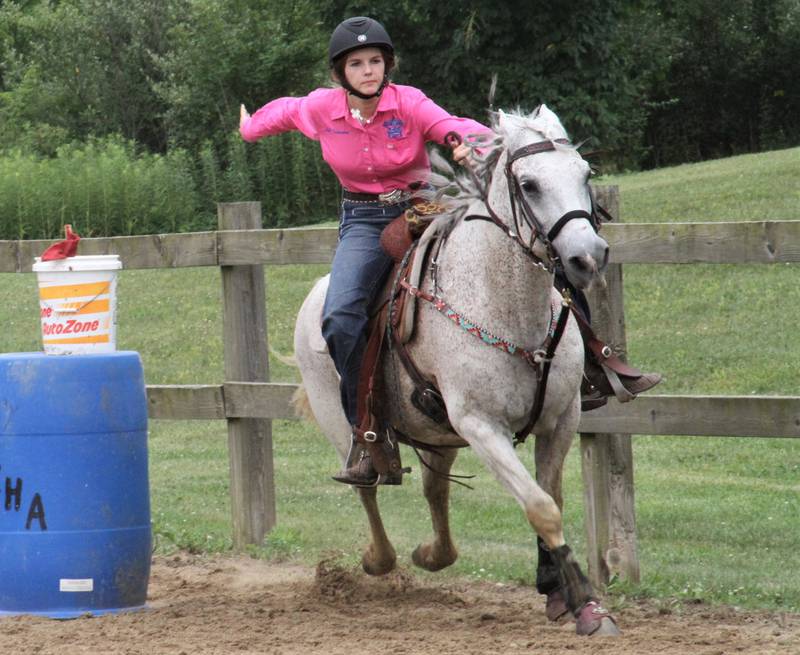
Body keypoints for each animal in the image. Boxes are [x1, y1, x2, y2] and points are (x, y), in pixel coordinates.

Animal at [294, 106, 620, 636]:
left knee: (435, 489)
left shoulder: (562, 419)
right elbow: (541, 508)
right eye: (528, 184)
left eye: (585, 174)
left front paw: (562, 594)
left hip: (437, 433)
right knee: (366, 486)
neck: (503, 305)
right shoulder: (481, 426)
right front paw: (585, 603)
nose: (587, 256)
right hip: (342, 424)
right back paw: (379, 559)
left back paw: (432, 553)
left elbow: (549, 497)